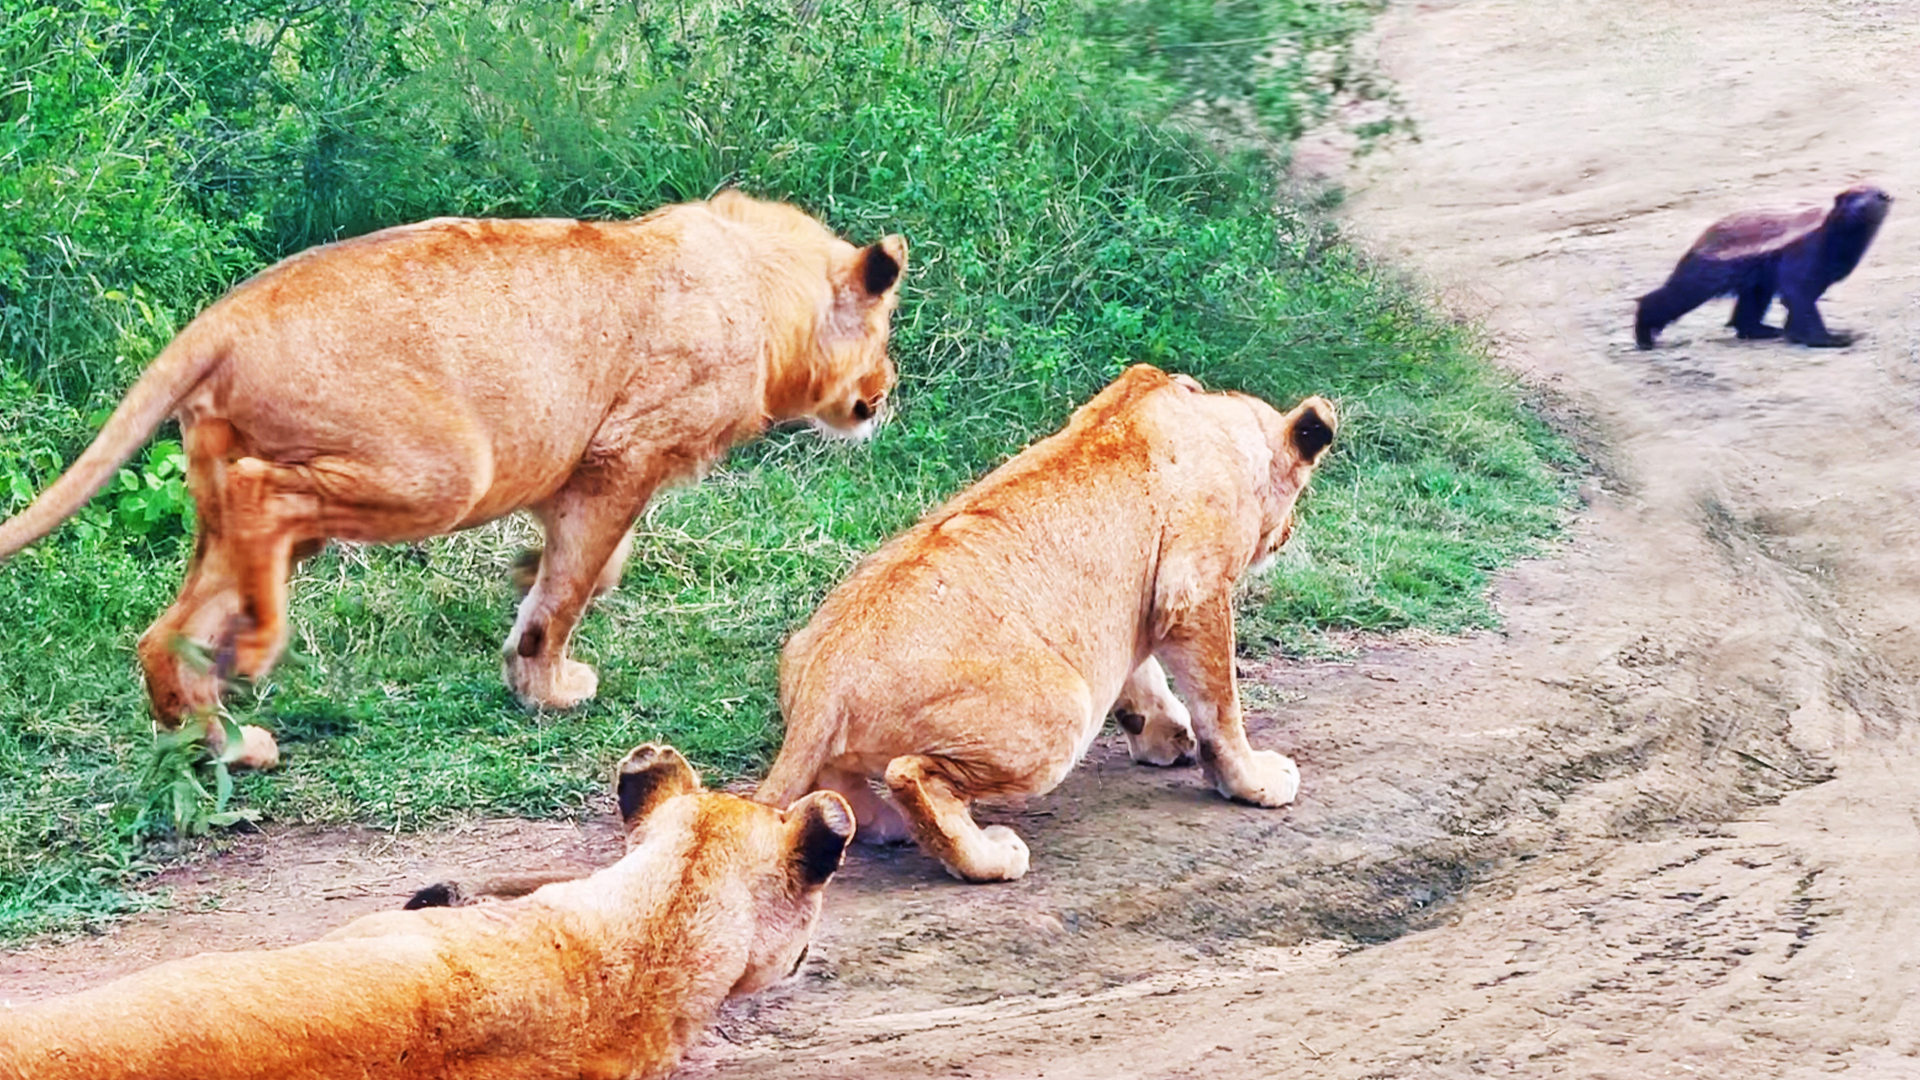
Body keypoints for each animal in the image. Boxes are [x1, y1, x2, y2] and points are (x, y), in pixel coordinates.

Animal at [0, 192, 906, 768]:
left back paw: (224, 741)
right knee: (264, 496)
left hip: (257, 489)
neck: (761, 282)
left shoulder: (571, 463)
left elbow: (590, 566)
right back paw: (252, 654)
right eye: (885, 333)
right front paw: (544, 685)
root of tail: (224, 317)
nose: (886, 391)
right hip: (446, 468)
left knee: (167, 630)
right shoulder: (623, 451)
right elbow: (571, 586)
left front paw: (524, 580)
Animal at [754, 364, 1336, 882]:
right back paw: (986, 855)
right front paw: (1253, 781)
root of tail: (822, 686)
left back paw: (884, 827)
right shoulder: (1194, 589)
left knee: (837, 780)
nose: (1288, 532)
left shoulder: (1133, 611)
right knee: (911, 774)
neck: (1214, 417)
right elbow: (1221, 704)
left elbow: (1141, 674)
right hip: (1065, 708)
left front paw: (1164, 735)